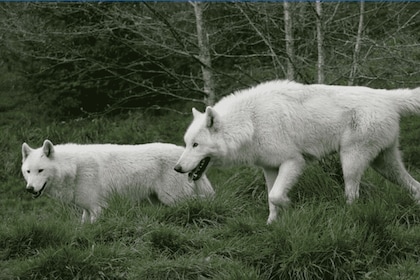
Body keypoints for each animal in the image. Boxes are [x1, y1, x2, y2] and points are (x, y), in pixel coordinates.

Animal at [22, 140, 213, 223]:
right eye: (28, 171)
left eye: (41, 170)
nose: (30, 189)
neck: (74, 168)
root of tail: (182, 153)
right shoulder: (86, 209)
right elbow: (83, 226)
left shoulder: (98, 208)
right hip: (159, 201)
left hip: (174, 198)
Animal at [173, 80, 420, 223]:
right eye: (186, 143)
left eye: (195, 145)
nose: (177, 168)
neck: (250, 122)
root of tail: (387, 96)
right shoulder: (270, 169)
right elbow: (271, 198)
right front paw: (272, 225)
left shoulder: (293, 161)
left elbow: (276, 196)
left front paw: (289, 206)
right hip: (385, 165)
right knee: (415, 185)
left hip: (350, 163)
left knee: (353, 195)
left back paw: (348, 215)